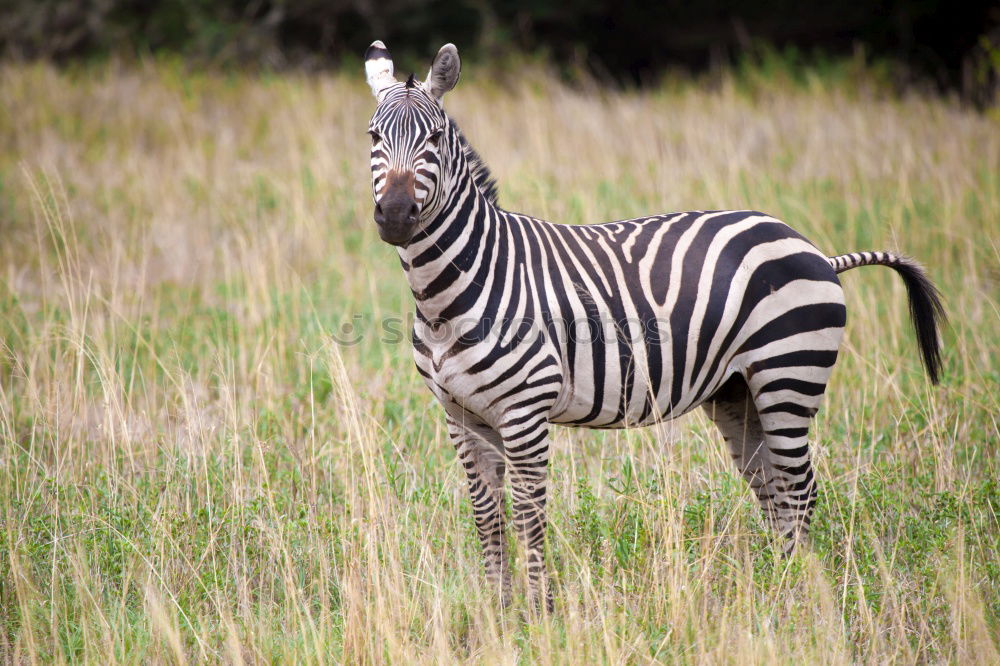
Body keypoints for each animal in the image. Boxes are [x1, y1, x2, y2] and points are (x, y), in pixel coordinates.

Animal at [362, 42, 944, 612]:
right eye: (373, 136)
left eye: (435, 139)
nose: (395, 215)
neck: (448, 297)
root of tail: (816, 250)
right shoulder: (460, 414)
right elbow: (487, 516)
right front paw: (497, 612)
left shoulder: (525, 411)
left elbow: (530, 515)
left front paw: (541, 612)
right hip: (738, 391)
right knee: (773, 490)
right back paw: (779, 592)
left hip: (788, 374)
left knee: (800, 490)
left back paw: (801, 599)